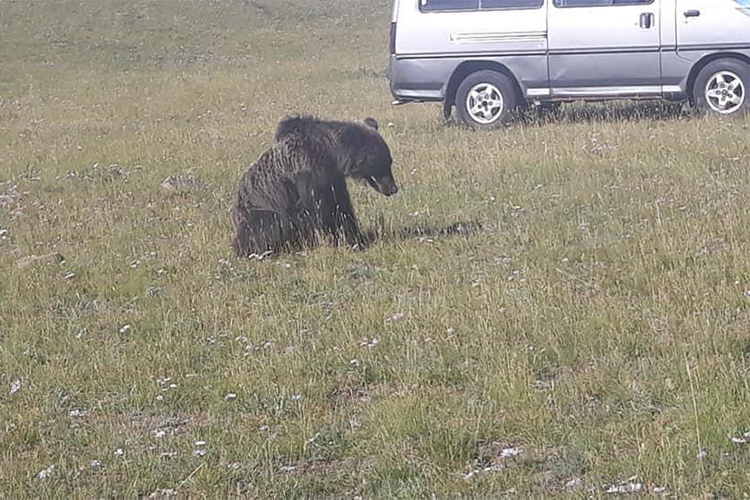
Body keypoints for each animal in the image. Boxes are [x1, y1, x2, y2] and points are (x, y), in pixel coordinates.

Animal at [234, 115, 400, 258]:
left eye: (389, 161)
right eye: (382, 163)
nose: (393, 189)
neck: (330, 155)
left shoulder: (334, 179)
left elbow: (341, 207)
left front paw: (355, 236)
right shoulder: (309, 175)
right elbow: (321, 210)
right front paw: (346, 240)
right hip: (257, 210)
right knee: (266, 226)